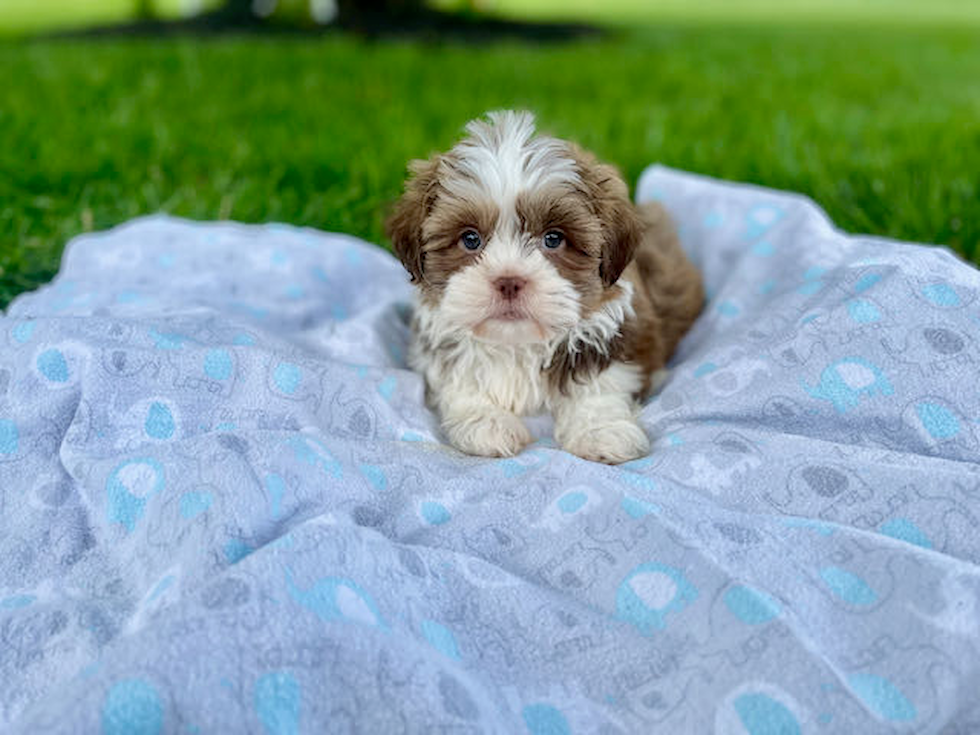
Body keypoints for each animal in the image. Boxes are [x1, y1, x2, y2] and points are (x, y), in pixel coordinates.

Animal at [386, 111, 700, 462]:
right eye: (470, 239)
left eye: (553, 238)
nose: (509, 281)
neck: (518, 344)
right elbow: (458, 379)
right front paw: (487, 422)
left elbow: (600, 382)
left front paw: (601, 431)